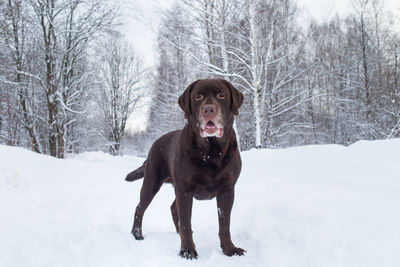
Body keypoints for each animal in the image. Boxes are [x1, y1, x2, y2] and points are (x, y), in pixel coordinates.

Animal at [125, 79, 244, 260]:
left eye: (221, 95)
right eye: (197, 97)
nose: (208, 109)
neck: (211, 152)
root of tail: (155, 142)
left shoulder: (227, 190)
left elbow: (224, 224)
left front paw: (229, 249)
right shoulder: (185, 190)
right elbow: (186, 223)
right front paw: (187, 250)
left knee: (174, 209)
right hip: (152, 181)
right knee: (140, 208)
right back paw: (137, 234)